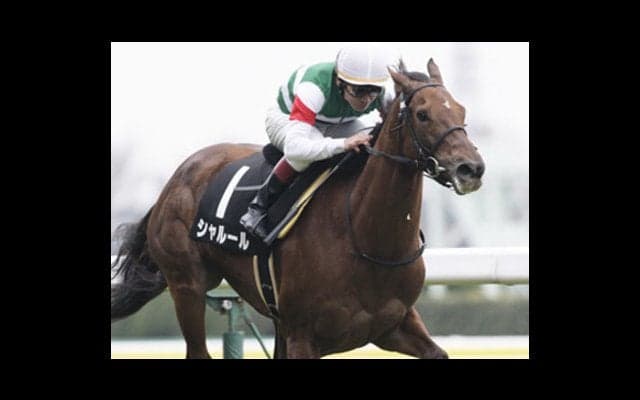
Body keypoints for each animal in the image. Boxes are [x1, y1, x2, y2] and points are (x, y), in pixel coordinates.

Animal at [111, 58, 485, 359]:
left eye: (462, 110)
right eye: (422, 114)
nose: (472, 168)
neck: (363, 236)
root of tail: (172, 182)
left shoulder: (395, 324)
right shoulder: (304, 336)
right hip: (186, 284)